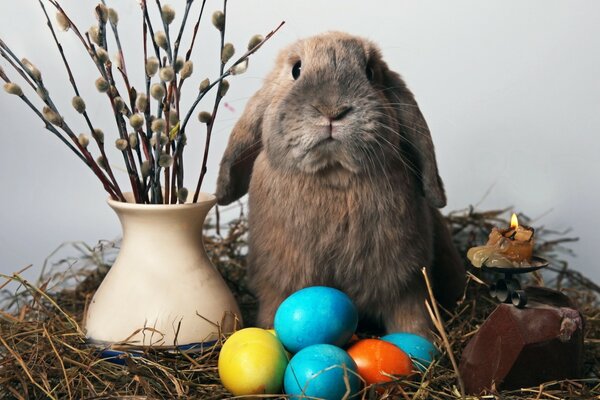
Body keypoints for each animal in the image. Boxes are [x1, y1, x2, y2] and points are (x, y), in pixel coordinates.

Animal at [216, 32, 464, 338]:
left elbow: (412, 318)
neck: (333, 175)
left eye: (370, 72)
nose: (332, 110)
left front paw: (422, 342)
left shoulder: (408, 286)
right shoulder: (278, 287)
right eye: (296, 70)